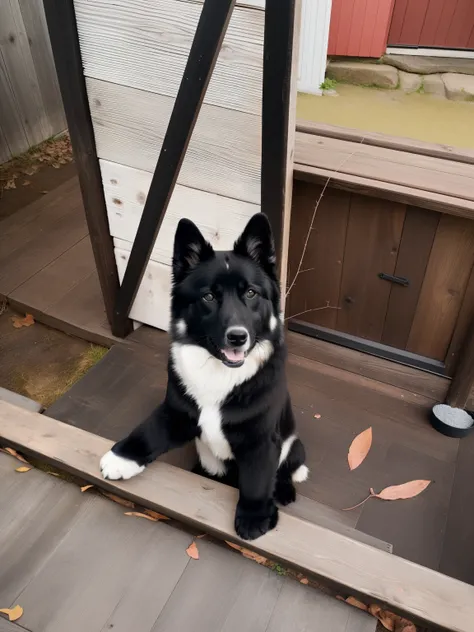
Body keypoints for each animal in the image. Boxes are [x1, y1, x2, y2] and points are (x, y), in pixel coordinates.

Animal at [100, 212, 308, 540]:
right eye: (209, 296)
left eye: (251, 293)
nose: (237, 337)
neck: (220, 374)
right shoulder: (178, 412)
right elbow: (149, 430)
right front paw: (121, 458)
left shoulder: (262, 439)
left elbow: (257, 479)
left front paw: (254, 516)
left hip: (293, 445)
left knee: (287, 468)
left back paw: (284, 490)